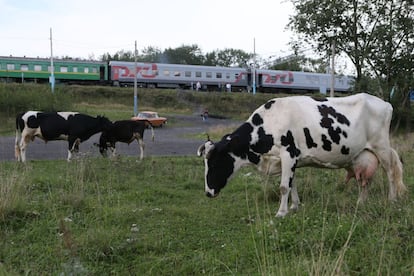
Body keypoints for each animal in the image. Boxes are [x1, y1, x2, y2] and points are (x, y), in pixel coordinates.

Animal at [196, 94, 406, 217]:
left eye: (214, 163)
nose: (207, 193)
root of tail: (385, 102)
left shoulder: (288, 152)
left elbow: (283, 187)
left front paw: (281, 213)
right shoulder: (290, 159)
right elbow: (292, 183)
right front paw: (295, 206)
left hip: (381, 147)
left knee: (390, 172)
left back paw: (392, 200)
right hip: (363, 155)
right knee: (364, 180)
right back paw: (360, 203)